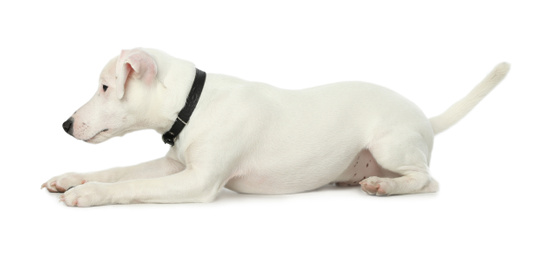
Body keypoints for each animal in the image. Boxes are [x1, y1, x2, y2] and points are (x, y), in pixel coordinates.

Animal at [41, 48, 510, 207]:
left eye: (105, 86)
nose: (64, 124)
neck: (194, 103)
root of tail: (425, 118)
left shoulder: (198, 182)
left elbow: (132, 184)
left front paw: (87, 193)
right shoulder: (175, 166)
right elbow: (122, 171)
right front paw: (70, 178)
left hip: (392, 145)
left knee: (427, 181)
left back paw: (385, 186)